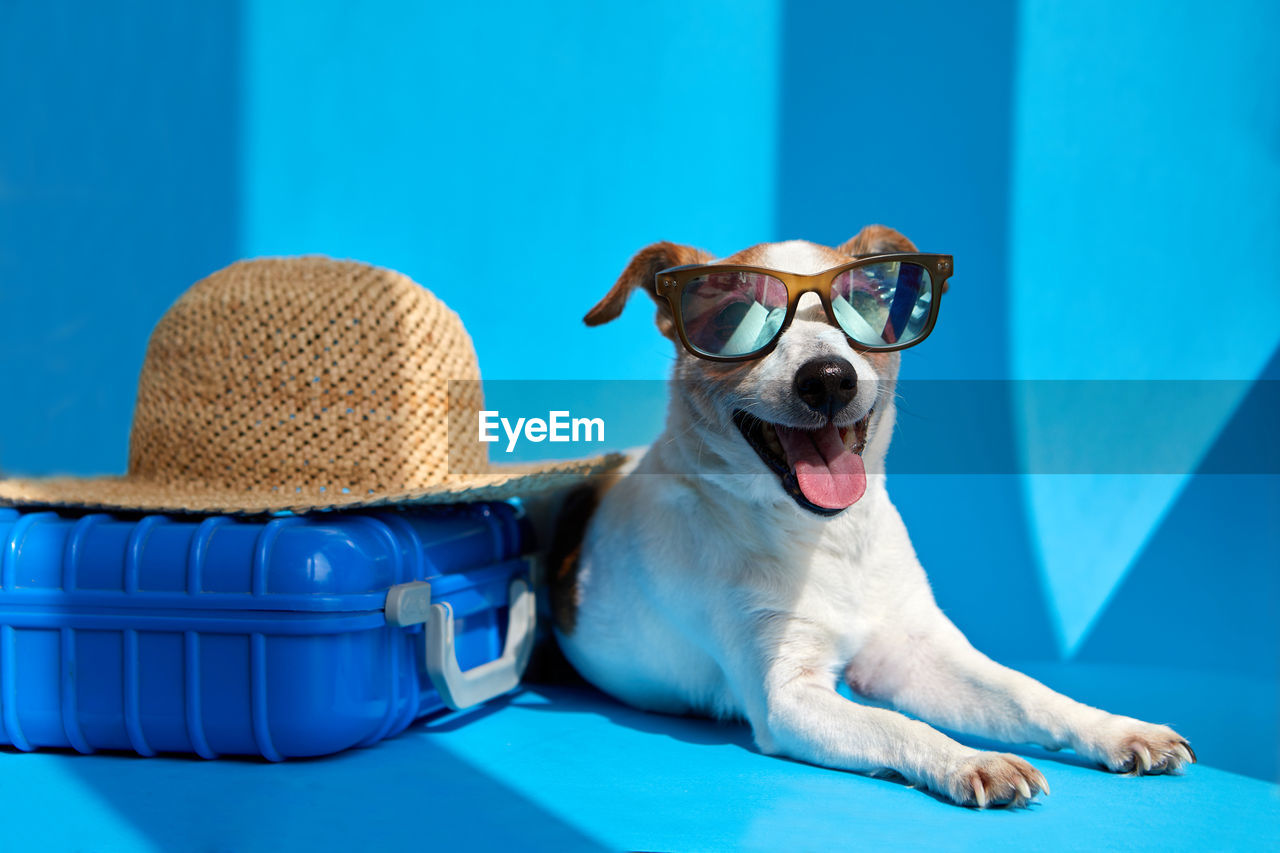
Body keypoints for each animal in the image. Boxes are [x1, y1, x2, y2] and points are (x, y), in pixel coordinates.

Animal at [555, 224, 1192, 804]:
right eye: (735, 316)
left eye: (861, 308)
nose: (828, 378)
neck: (824, 538)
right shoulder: (788, 696)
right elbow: (895, 723)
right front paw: (971, 760)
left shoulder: (915, 655)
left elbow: (1026, 693)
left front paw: (1115, 728)